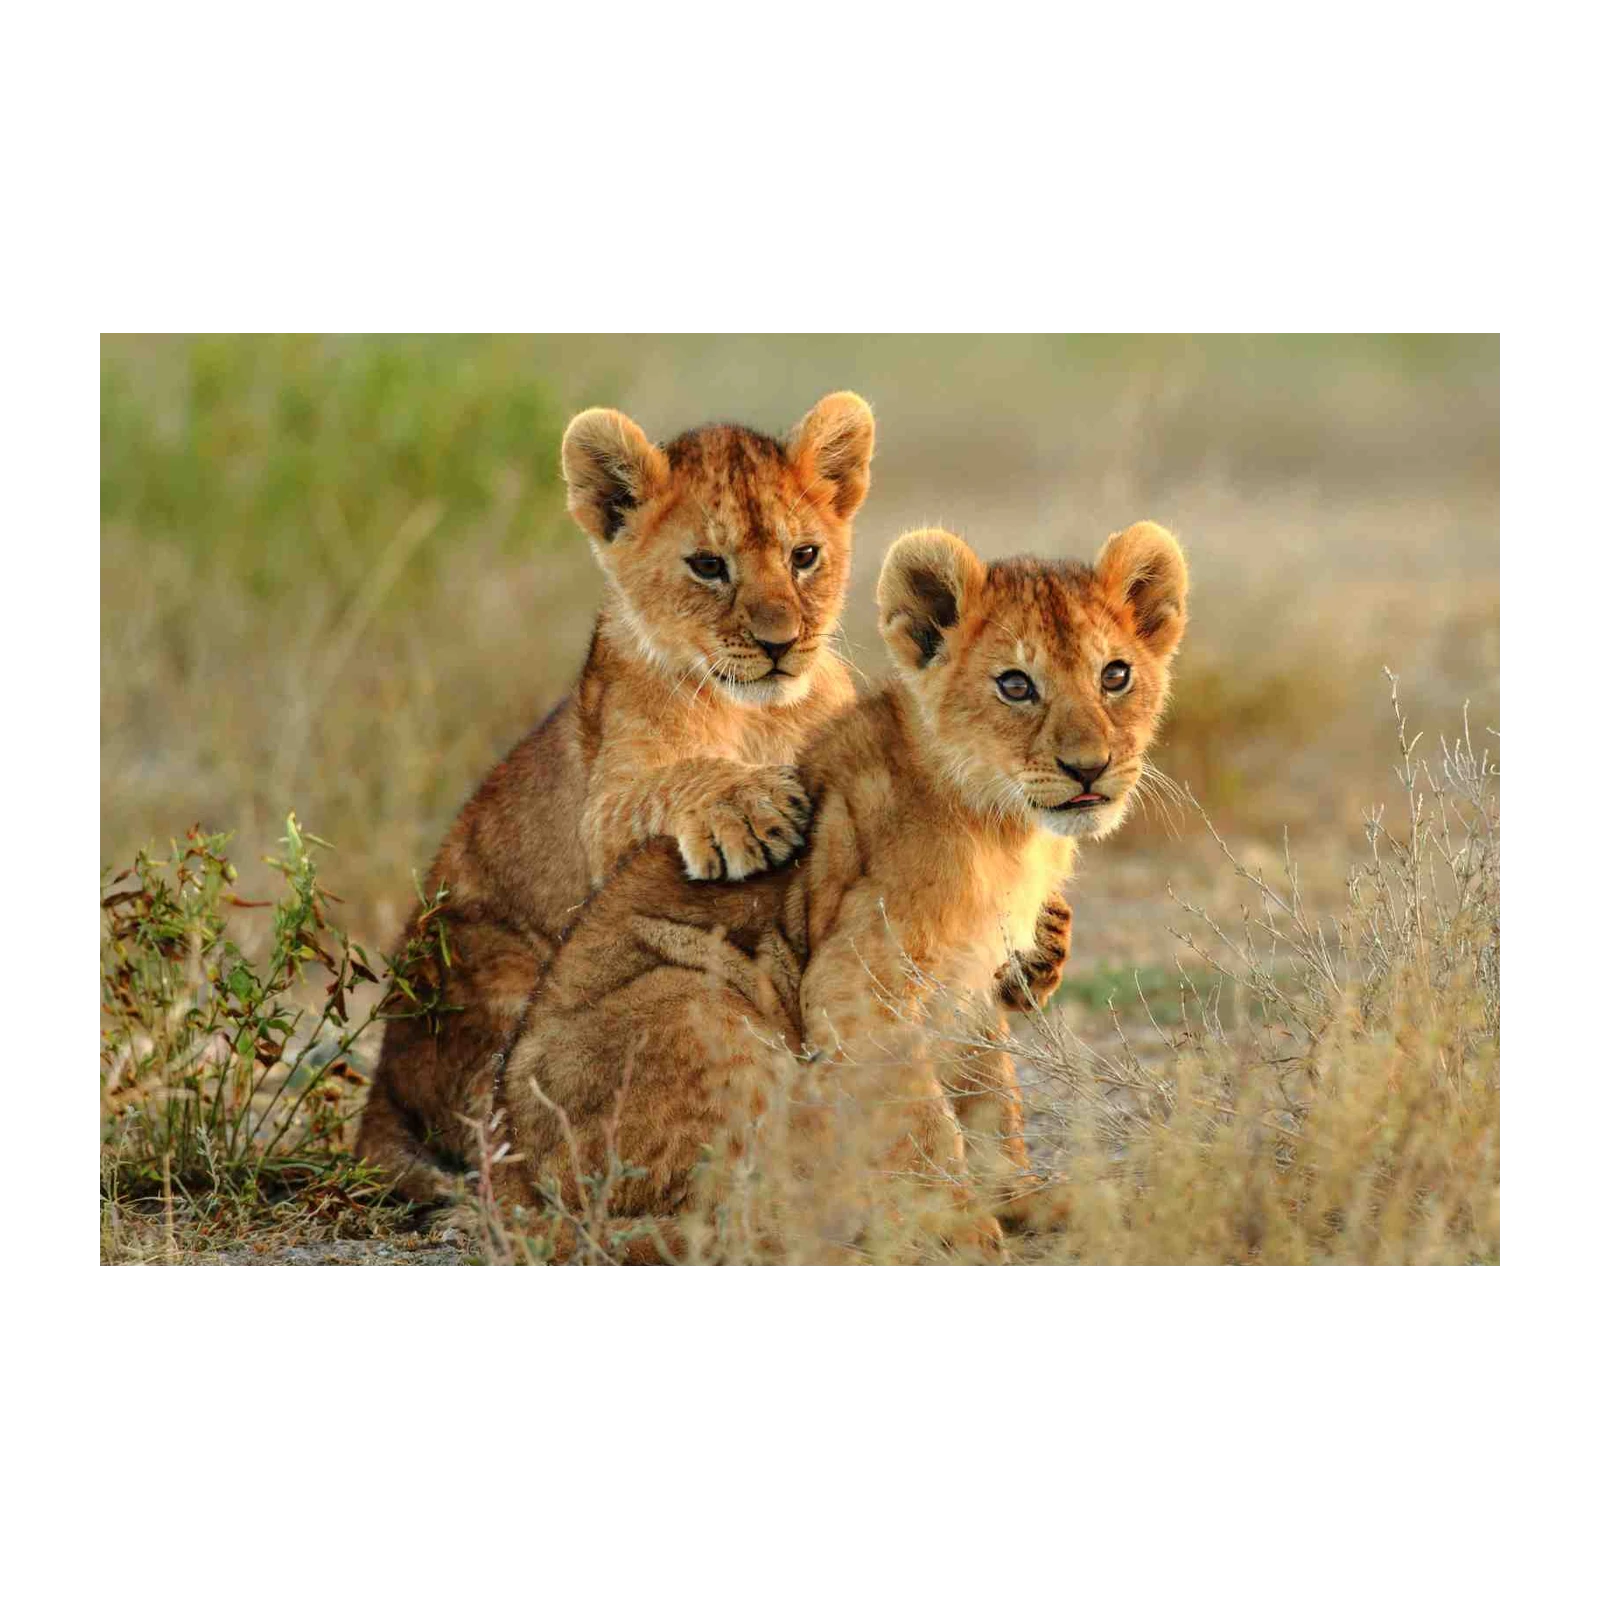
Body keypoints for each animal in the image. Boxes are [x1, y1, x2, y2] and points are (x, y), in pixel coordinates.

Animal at [355, 393, 876, 1204]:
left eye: (805, 556)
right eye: (708, 566)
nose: (781, 643)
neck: (758, 716)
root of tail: (380, 1083)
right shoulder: (605, 808)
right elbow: (671, 782)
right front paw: (747, 808)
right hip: (490, 970)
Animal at [490, 520, 1189, 1264]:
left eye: (1115, 675)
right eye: (1015, 685)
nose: (1089, 769)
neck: (1008, 830)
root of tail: (504, 1172)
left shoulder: (970, 983)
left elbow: (989, 1098)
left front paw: (1023, 1197)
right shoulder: (858, 981)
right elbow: (920, 1115)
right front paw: (956, 1224)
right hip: (698, 1001)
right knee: (709, 1217)